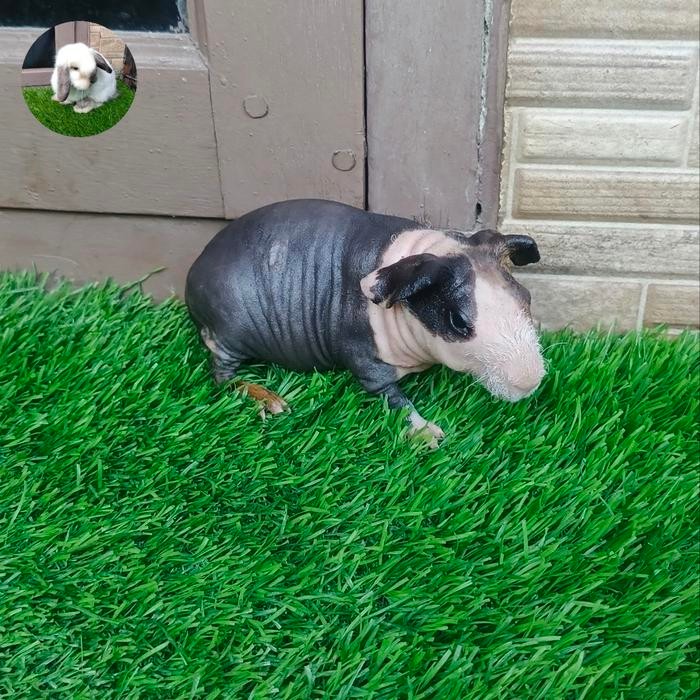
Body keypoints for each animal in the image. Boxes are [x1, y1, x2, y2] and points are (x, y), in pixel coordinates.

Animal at [185, 199, 545, 444]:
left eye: (526, 297)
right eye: (458, 322)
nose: (530, 383)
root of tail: (193, 277)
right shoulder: (365, 359)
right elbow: (393, 398)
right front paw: (428, 434)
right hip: (230, 332)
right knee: (222, 377)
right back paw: (270, 400)